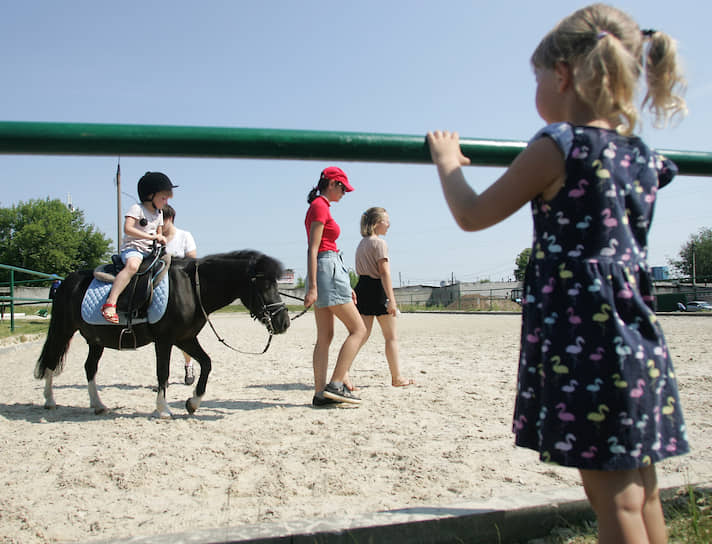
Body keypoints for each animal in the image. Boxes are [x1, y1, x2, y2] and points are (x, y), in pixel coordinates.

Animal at [34, 249, 290, 418]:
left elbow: (207, 363)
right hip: (63, 330)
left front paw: (193, 403)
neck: (192, 288)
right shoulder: (164, 340)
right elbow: (163, 373)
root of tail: (67, 281)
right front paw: (163, 409)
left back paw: (97, 405)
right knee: (51, 360)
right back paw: (49, 400)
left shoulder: (185, 339)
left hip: (95, 340)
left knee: (89, 368)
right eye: (266, 285)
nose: (284, 322)